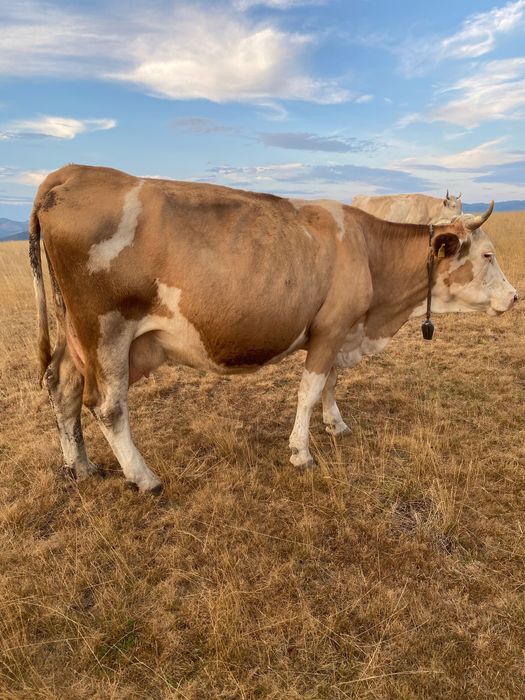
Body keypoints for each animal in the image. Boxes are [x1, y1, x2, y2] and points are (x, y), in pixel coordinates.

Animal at [29, 165, 517, 493]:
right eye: (487, 255)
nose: (514, 297)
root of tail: (73, 171)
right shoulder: (330, 330)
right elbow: (309, 390)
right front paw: (301, 451)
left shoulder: (339, 331)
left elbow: (330, 383)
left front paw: (336, 424)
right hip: (105, 330)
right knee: (107, 405)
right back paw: (144, 477)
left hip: (76, 333)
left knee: (62, 385)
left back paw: (80, 467)